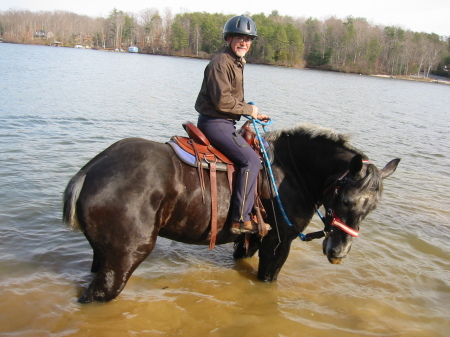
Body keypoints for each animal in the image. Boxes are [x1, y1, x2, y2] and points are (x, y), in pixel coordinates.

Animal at [64, 123, 400, 302]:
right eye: (345, 199)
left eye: (372, 207)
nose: (338, 252)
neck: (289, 172)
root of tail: (91, 170)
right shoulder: (277, 244)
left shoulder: (250, 241)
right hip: (123, 259)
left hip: (103, 256)